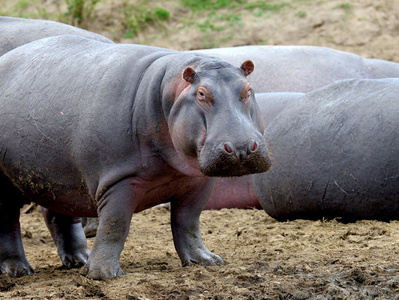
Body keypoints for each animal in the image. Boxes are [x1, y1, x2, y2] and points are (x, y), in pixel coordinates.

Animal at [0, 35, 272, 278]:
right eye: (202, 94)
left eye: (248, 90)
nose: (241, 148)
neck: (166, 94)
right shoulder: (119, 181)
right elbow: (115, 225)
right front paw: (103, 275)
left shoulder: (198, 181)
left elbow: (188, 222)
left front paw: (206, 261)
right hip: (9, 182)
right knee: (8, 223)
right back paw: (18, 271)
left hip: (60, 178)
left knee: (58, 215)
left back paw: (79, 260)